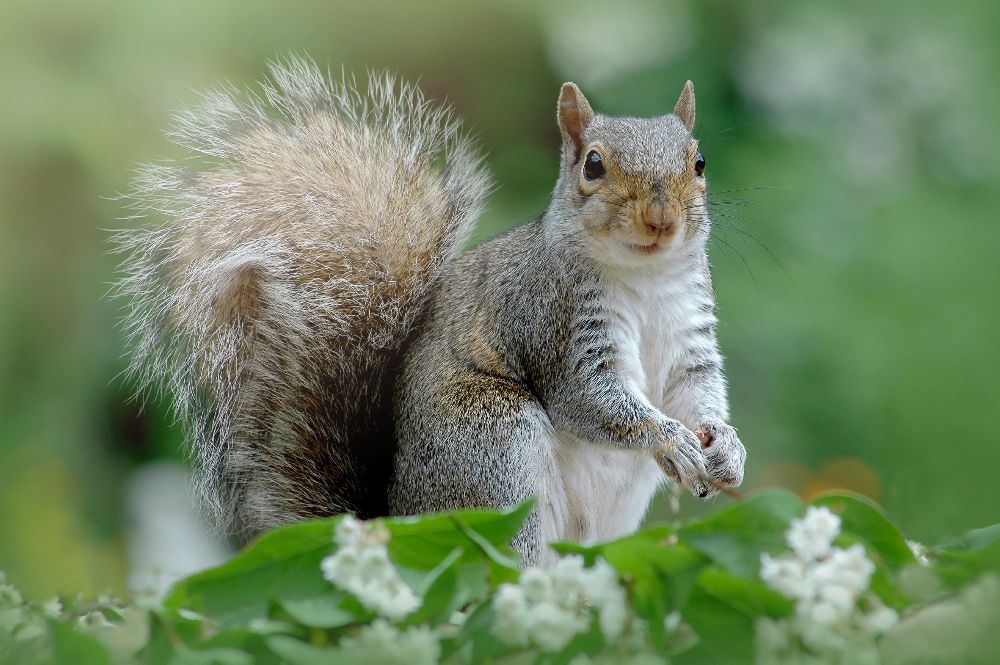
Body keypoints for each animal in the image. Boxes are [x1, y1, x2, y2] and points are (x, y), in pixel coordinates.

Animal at [115, 58, 744, 564]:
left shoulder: (690, 338)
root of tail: (398, 520)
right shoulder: (552, 323)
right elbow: (592, 401)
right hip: (493, 448)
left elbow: (696, 391)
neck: (644, 279)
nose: (661, 220)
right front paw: (671, 439)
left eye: (699, 162)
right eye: (592, 165)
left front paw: (726, 448)